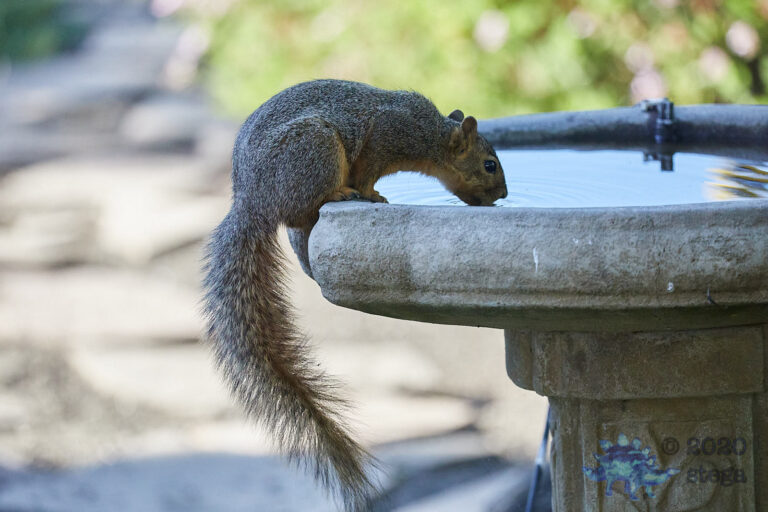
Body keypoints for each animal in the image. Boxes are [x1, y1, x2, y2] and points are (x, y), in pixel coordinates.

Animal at [202, 79, 507, 511]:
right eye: (489, 165)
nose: (504, 195)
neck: (429, 134)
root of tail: (252, 201)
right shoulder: (383, 140)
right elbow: (367, 173)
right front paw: (373, 195)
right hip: (314, 149)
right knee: (298, 210)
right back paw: (343, 195)